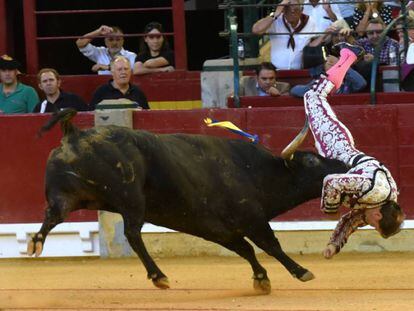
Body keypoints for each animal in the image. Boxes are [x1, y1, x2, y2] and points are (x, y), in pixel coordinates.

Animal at [27, 110, 348, 294]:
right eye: (311, 160)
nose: (344, 165)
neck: (254, 170)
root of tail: (75, 132)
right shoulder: (252, 218)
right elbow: (271, 245)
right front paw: (301, 272)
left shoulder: (217, 229)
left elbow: (245, 250)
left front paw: (261, 278)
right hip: (130, 198)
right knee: (132, 233)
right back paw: (159, 276)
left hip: (68, 195)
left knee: (53, 215)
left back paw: (35, 244)